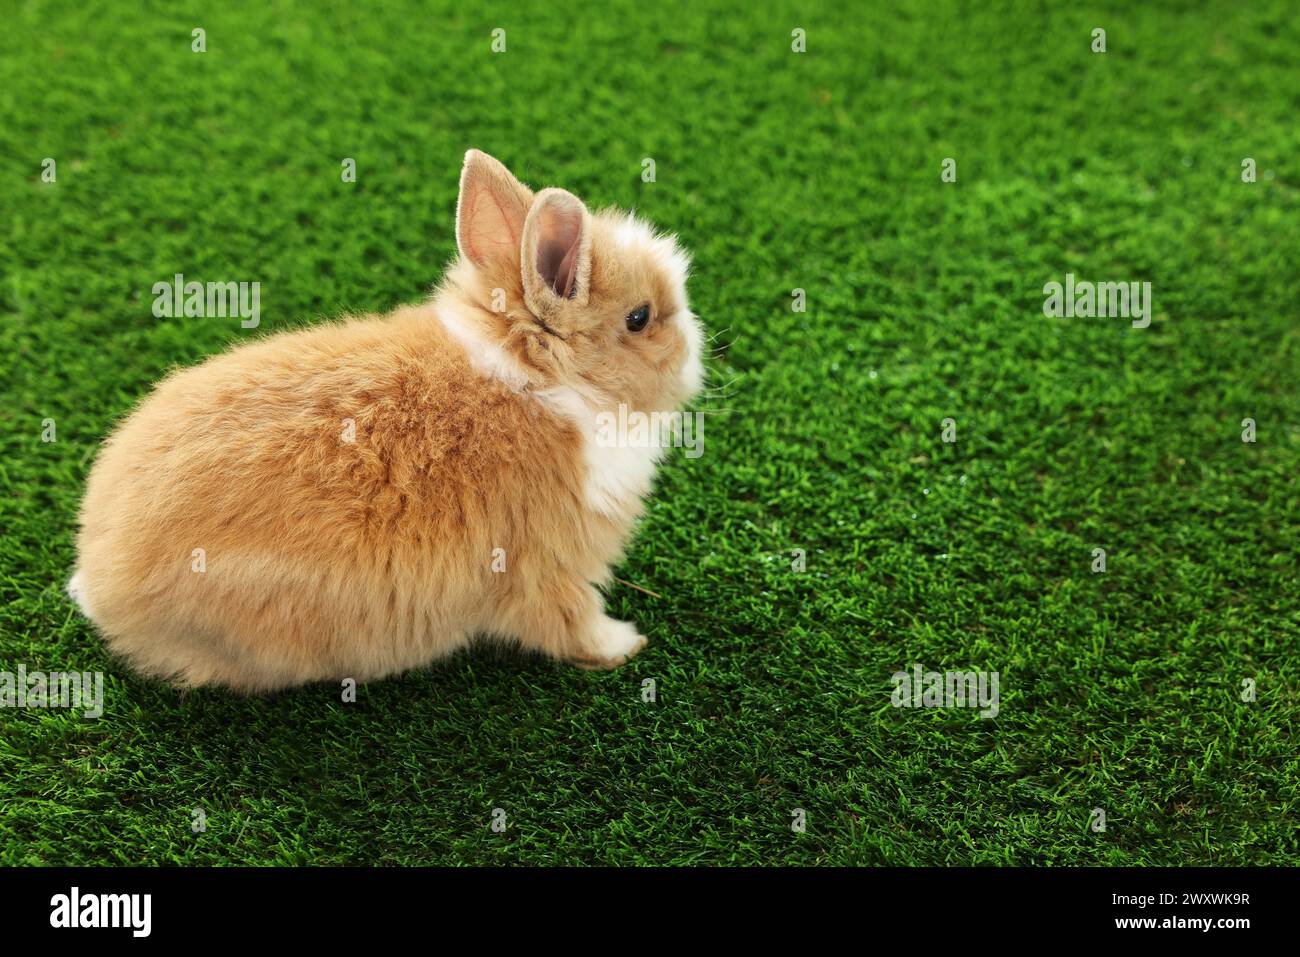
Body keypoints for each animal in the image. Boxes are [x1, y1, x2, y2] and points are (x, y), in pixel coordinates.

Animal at [67, 149, 704, 693]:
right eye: (640, 318)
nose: (697, 351)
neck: (544, 383)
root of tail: (103, 576)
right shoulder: (551, 566)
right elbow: (573, 623)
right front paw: (625, 643)